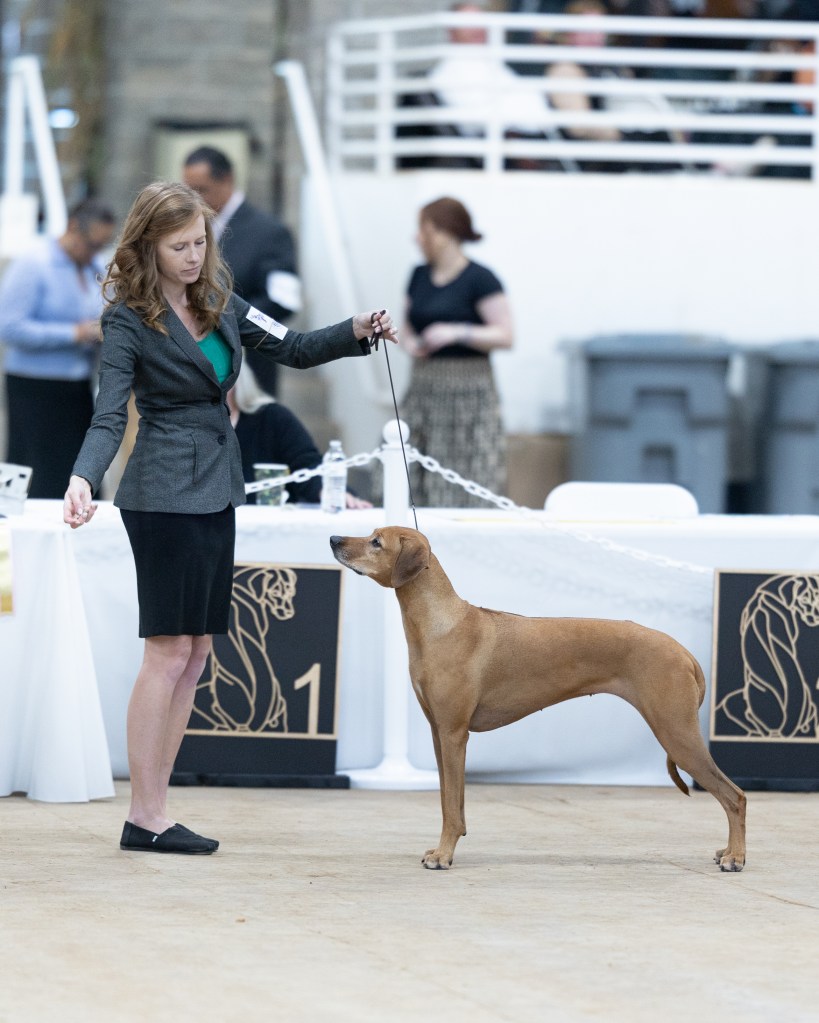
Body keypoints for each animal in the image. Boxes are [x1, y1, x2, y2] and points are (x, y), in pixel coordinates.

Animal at [330, 527, 746, 871]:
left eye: (376, 542)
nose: (334, 539)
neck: (438, 623)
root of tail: (683, 652)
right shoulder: (439, 733)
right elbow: (451, 802)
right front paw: (444, 848)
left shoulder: (454, 733)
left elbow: (451, 805)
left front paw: (444, 855)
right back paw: (727, 851)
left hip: (676, 732)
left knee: (735, 796)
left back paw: (736, 857)